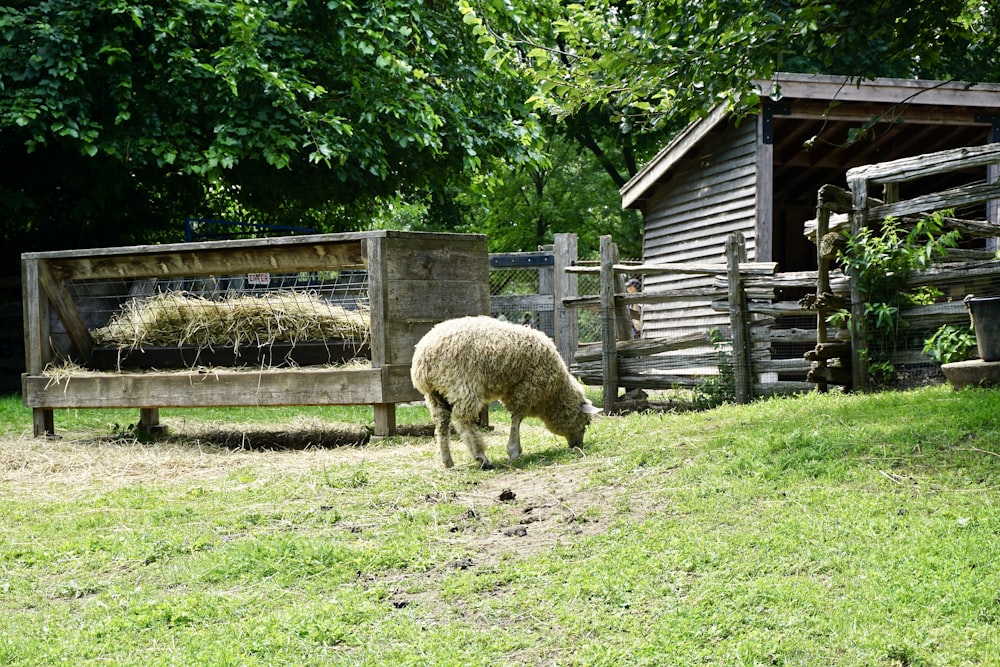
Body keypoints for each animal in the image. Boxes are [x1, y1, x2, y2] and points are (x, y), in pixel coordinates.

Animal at [408, 318, 600, 470]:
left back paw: (447, 461)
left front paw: (517, 449)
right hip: (462, 385)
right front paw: (513, 451)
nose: (578, 446)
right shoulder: (525, 389)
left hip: (435, 395)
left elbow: (517, 420)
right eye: (585, 422)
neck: (554, 394)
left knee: (441, 425)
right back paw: (482, 458)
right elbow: (517, 420)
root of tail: (423, 358)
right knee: (464, 421)